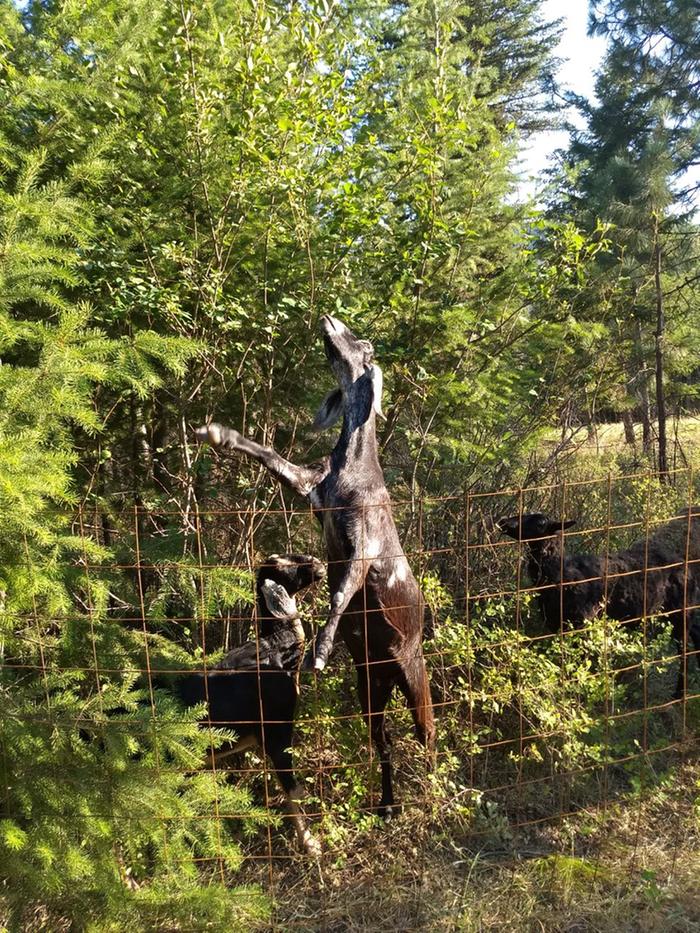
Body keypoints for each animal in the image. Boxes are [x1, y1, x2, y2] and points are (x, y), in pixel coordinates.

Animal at [171, 552, 324, 852]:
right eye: (287, 563)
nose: (319, 564)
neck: (278, 650)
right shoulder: (276, 727)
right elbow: (293, 790)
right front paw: (311, 845)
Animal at [197, 316, 434, 820]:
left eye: (361, 344)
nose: (330, 320)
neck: (354, 467)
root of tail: (390, 668)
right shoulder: (311, 489)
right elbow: (270, 456)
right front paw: (219, 433)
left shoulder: (363, 544)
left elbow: (341, 594)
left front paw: (321, 651)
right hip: (370, 692)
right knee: (384, 743)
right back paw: (387, 804)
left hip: (415, 680)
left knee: (429, 735)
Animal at [498, 510, 700, 700]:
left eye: (540, 524)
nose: (503, 522)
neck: (561, 574)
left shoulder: (584, 624)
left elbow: (580, 664)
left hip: (680, 612)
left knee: (685, 651)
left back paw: (679, 694)